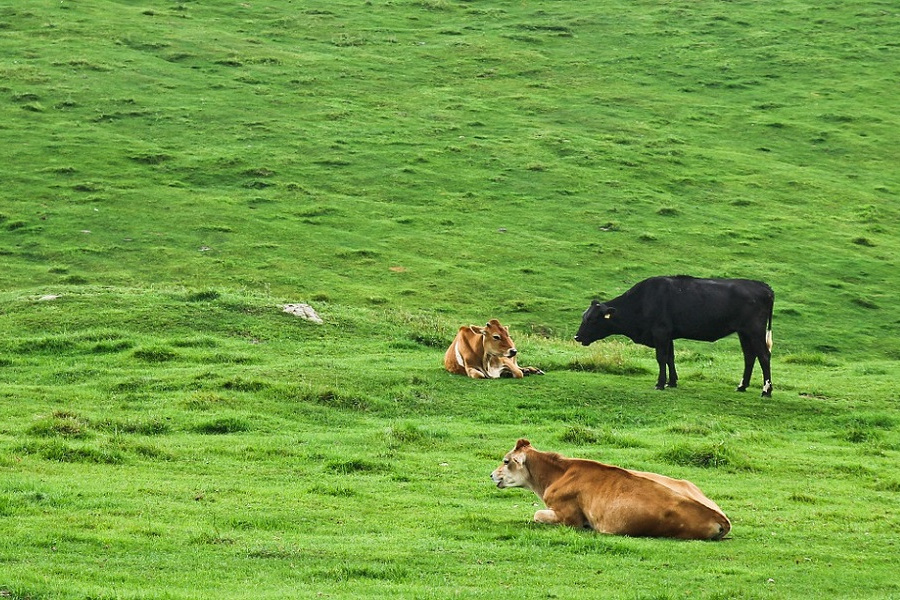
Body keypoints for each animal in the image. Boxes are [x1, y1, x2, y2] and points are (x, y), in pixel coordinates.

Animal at [492, 438, 732, 540]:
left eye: (506, 461)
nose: (491, 474)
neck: (558, 474)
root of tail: (720, 517)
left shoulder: (569, 518)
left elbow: (537, 514)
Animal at [576, 278, 772, 398]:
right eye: (584, 316)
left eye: (592, 319)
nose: (576, 336)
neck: (642, 302)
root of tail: (763, 286)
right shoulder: (668, 335)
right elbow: (670, 358)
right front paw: (672, 382)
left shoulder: (660, 333)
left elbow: (661, 358)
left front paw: (660, 383)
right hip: (744, 333)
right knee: (749, 356)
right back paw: (742, 386)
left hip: (754, 331)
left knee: (764, 356)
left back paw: (766, 390)